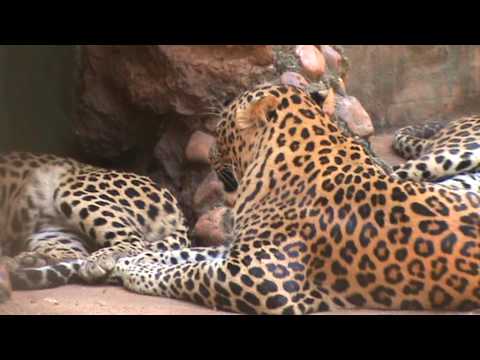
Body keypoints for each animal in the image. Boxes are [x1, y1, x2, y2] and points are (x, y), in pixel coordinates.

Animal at [0, 151, 191, 300]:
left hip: (73, 191)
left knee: (136, 243)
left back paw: (95, 261)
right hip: (54, 233)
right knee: (73, 254)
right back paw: (25, 262)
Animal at [106, 83, 480, 314]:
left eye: (223, 125)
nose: (207, 151)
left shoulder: (263, 277)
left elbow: (190, 273)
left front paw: (137, 272)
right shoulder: (241, 252)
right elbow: (190, 254)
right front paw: (130, 260)